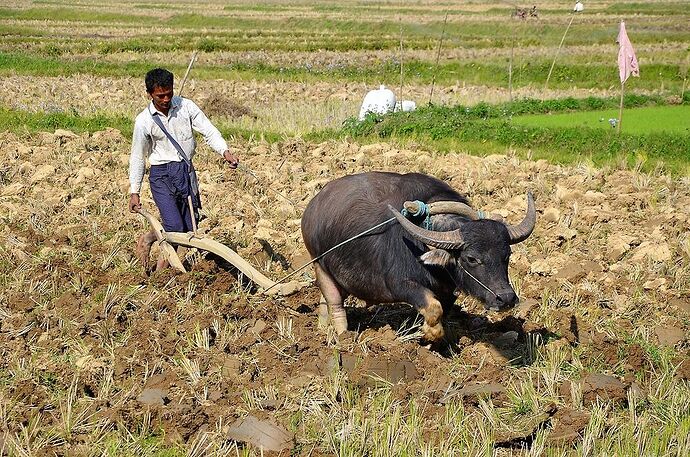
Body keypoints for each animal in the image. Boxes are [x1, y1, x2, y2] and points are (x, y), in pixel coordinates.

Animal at [298, 171, 536, 342]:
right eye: (471, 258)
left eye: (506, 255)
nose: (506, 298)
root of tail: (311, 208)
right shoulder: (400, 284)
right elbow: (433, 307)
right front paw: (429, 334)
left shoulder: (447, 291)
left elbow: (442, 310)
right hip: (319, 264)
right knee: (335, 302)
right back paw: (342, 336)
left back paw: (322, 327)